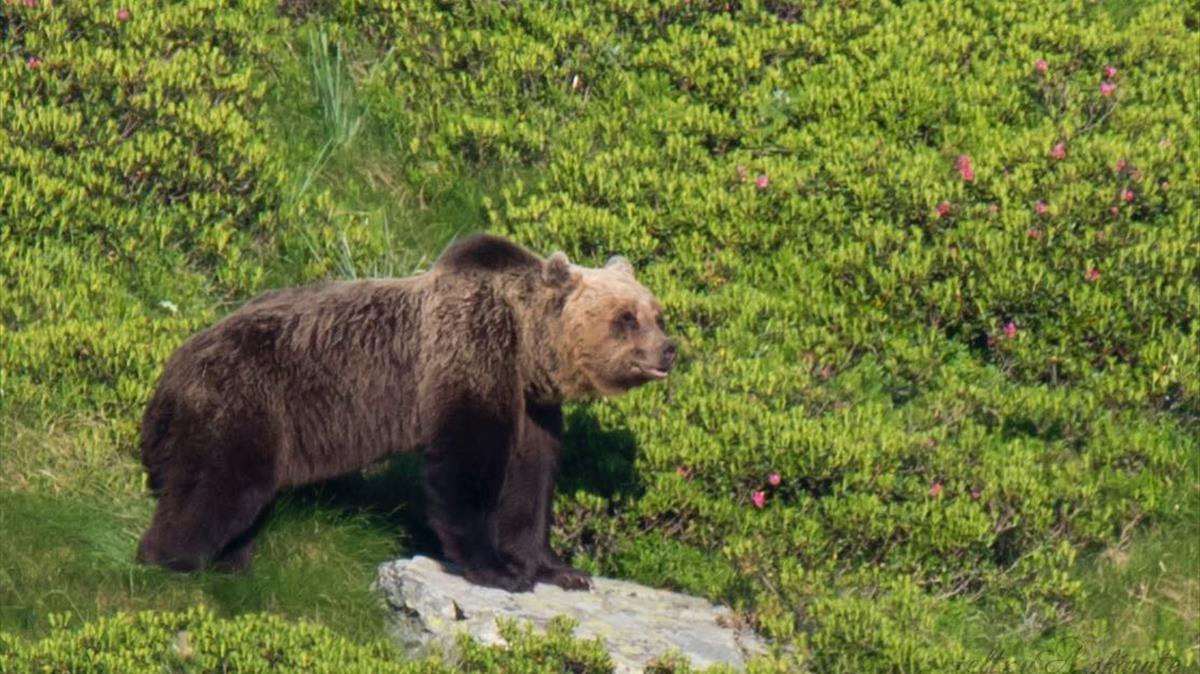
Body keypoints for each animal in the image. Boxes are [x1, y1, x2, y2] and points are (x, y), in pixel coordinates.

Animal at [137, 230, 681, 587]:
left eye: (657, 313)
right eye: (625, 318)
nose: (669, 349)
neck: (525, 348)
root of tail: (171, 370)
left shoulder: (532, 405)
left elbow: (531, 481)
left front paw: (558, 568)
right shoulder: (467, 356)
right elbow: (467, 466)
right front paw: (498, 569)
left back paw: (231, 563)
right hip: (246, 400)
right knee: (220, 485)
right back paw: (170, 559)